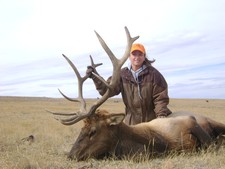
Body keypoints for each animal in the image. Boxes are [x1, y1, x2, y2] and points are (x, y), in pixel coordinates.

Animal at [49, 27, 225, 161]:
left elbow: (209, 143)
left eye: (93, 131)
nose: (70, 155)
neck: (157, 142)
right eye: (81, 129)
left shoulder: (189, 121)